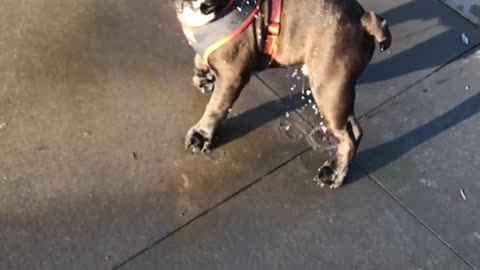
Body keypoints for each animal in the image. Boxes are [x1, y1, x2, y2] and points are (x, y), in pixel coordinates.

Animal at [175, 0, 390, 189]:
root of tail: (363, 20)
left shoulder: (232, 74)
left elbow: (216, 106)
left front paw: (202, 135)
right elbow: (199, 59)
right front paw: (204, 77)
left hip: (329, 87)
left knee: (348, 137)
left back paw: (334, 175)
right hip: (337, 91)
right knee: (352, 128)